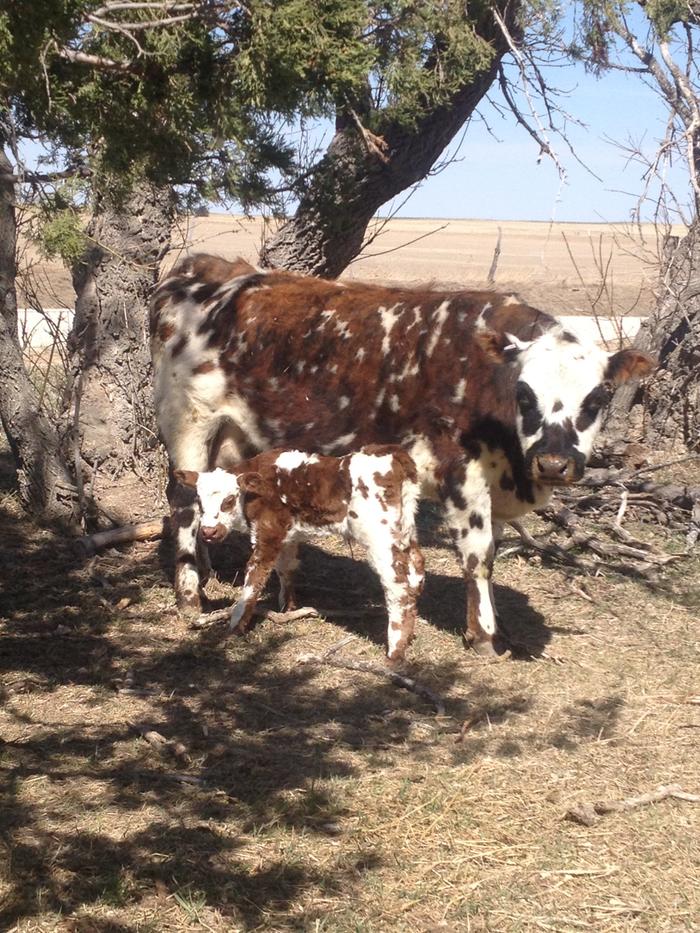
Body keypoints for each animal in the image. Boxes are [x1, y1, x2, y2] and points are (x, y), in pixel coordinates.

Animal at [175, 446, 426, 660]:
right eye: (199, 501)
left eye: (228, 500)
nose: (208, 531)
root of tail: (393, 453)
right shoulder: (287, 536)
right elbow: (285, 569)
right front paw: (288, 608)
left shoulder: (268, 534)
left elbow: (253, 581)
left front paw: (234, 628)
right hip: (405, 531)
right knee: (416, 570)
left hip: (380, 539)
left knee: (397, 585)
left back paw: (395, 651)